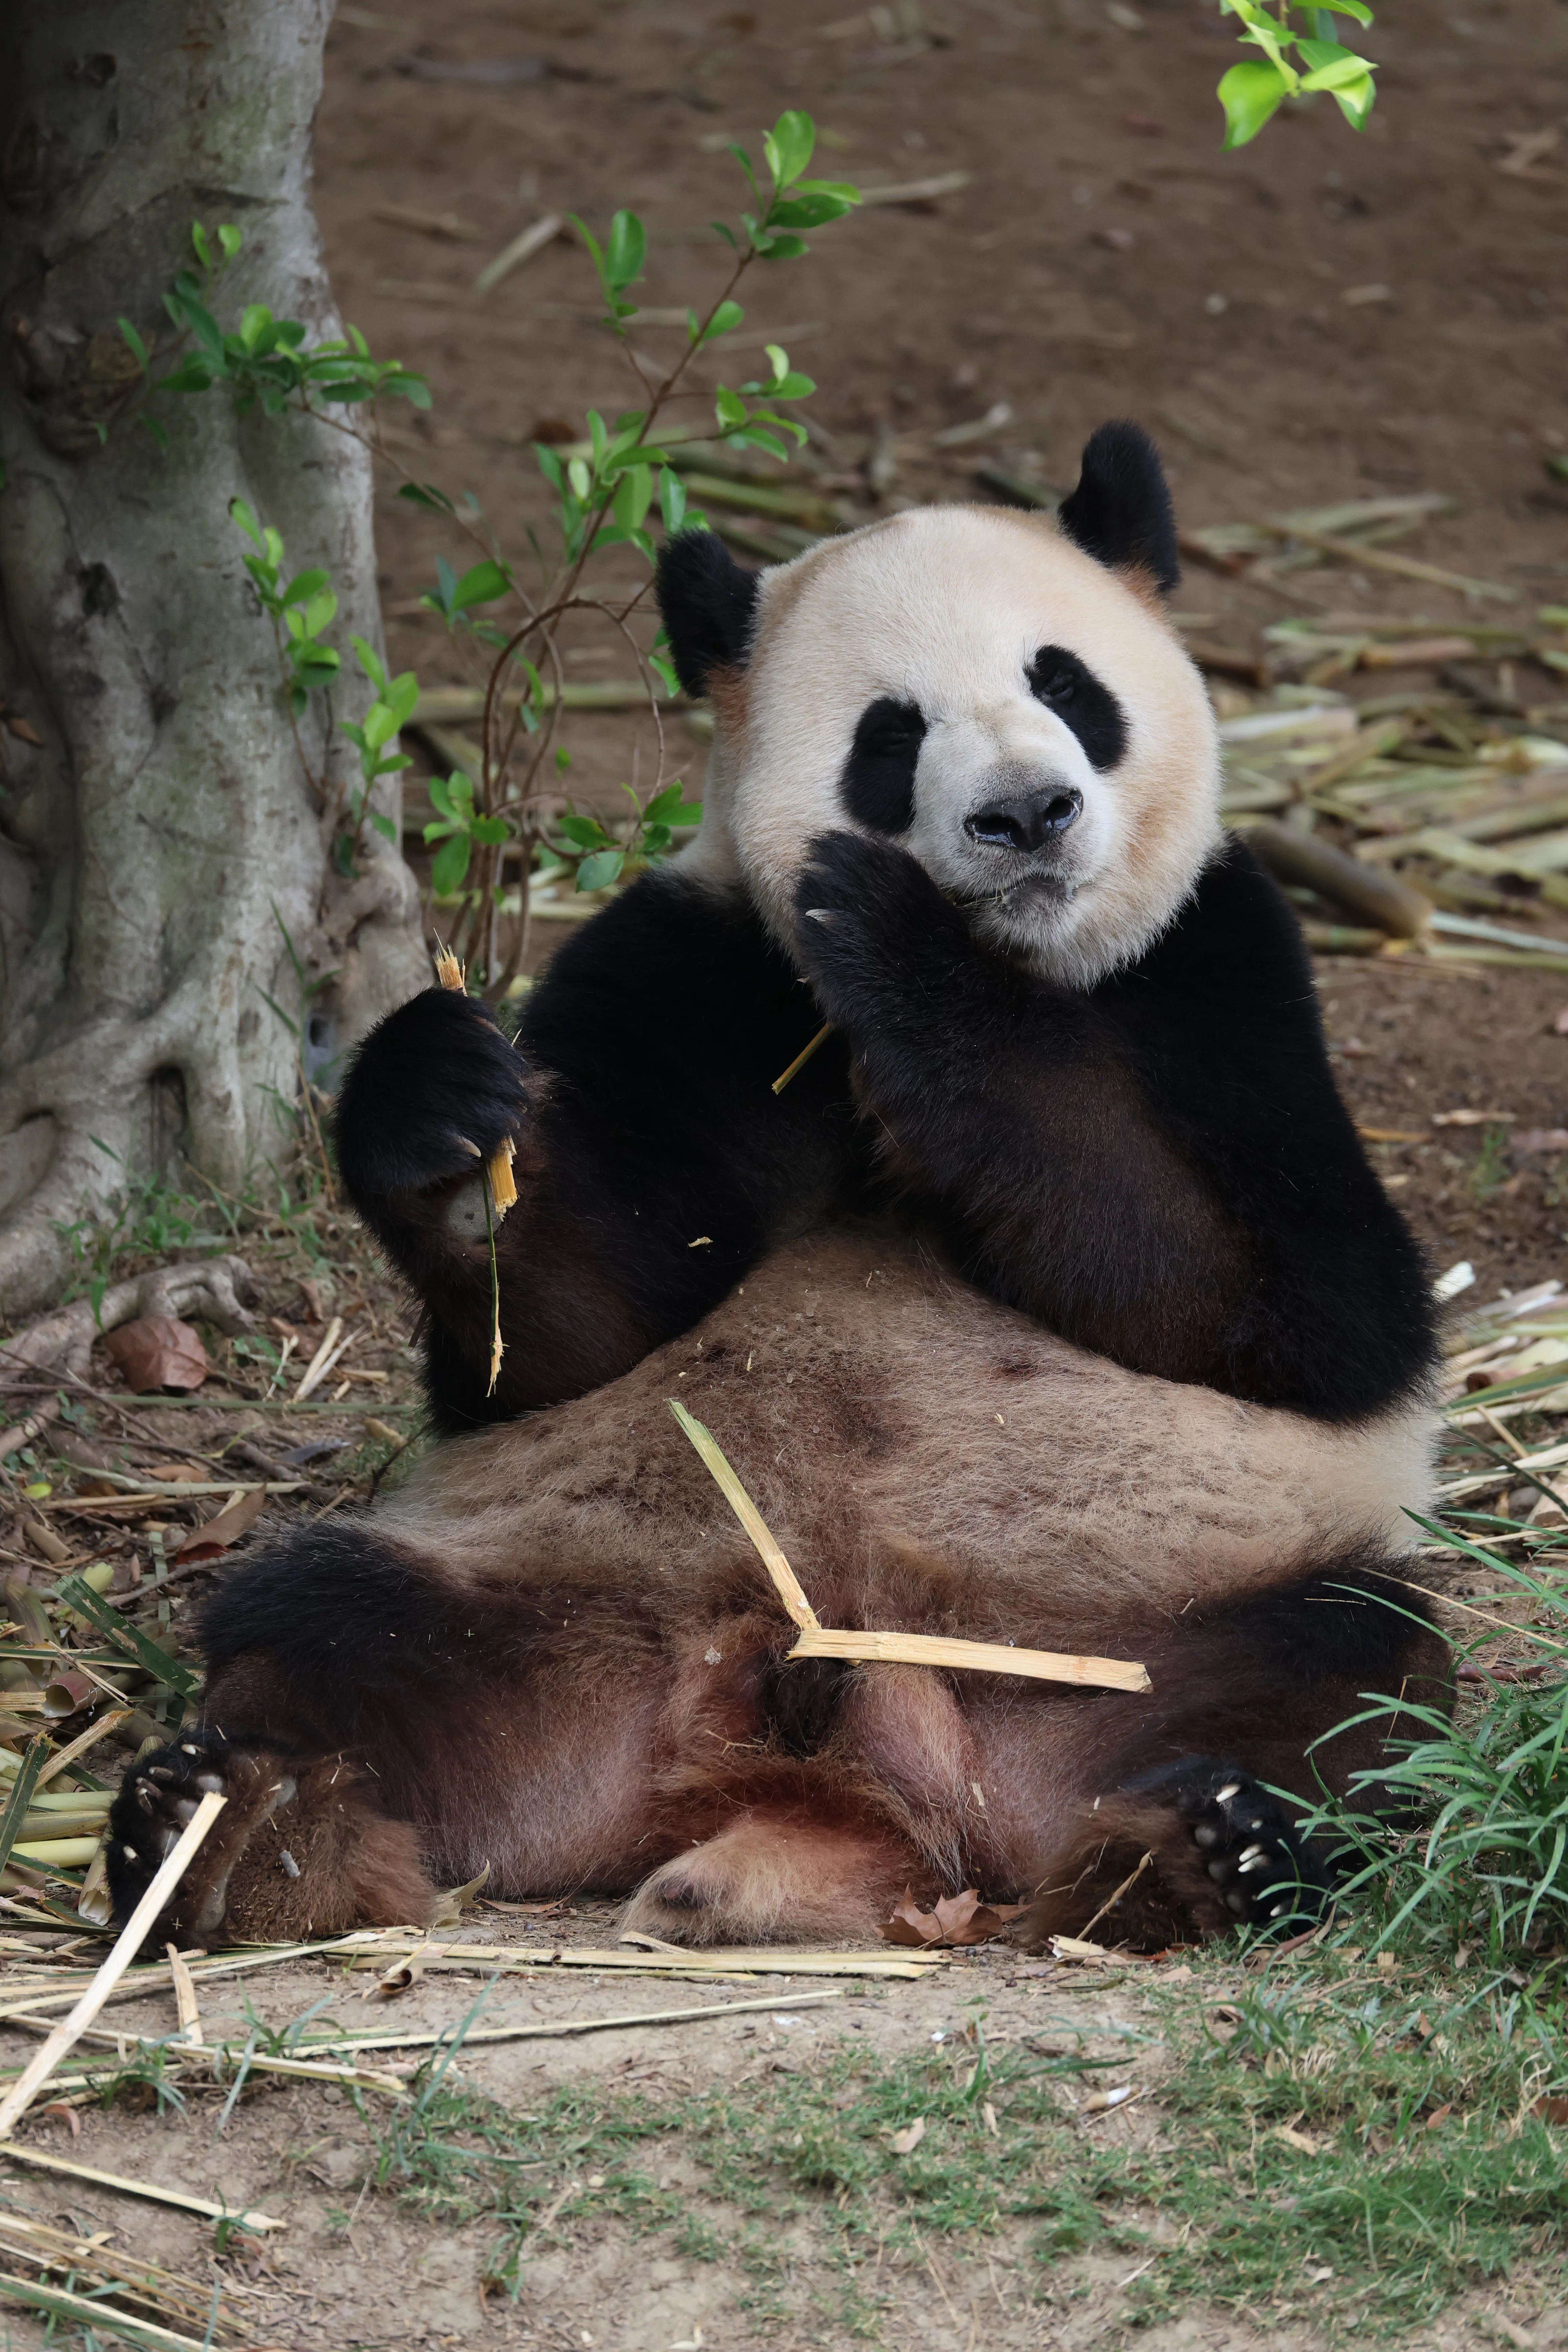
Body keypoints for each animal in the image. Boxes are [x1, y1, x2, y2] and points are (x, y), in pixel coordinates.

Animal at [106, 424, 1447, 1953]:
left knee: (1348, 1664)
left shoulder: (1222, 970)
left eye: (1066, 686)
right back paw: (237, 1834)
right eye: (892, 734)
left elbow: (1298, 1310)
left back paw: (1203, 1848)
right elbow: (564, 1337)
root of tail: (830, 1773)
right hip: (554, 1599)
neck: (1024, 959)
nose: (1027, 815)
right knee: (320, 1618)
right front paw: (447, 1115)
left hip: (1135, 1628)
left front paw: (908, 962)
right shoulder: (697, 964)